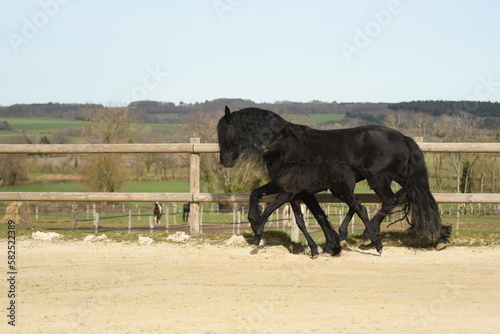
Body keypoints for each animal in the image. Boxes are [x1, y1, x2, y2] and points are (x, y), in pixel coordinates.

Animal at [217, 105, 452, 252]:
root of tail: (402, 137)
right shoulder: (283, 185)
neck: (284, 146)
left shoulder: (298, 189)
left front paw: (331, 244)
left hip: (379, 179)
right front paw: (253, 221)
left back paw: (367, 235)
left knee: (391, 200)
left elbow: (319, 215)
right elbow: (255, 193)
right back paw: (440, 236)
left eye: (224, 131)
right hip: (400, 176)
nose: (225, 161)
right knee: (417, 196)